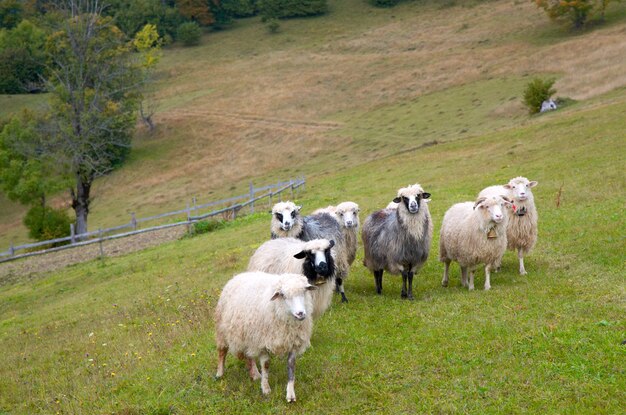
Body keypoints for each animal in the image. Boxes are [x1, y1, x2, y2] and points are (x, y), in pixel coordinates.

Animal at [213, 272, 314, 404]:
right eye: (283, 295)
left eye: (304, 291)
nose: (300, 313)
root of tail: (239, 275)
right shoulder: (262, 342)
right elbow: (266, 365)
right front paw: (266, 389)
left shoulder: (292, 342)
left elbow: (291, 366)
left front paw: (290, 394)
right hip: (222, 331)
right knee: (222, 352)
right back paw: (220, 373)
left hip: (248, 336)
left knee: (249, 356)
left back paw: (255, 374)